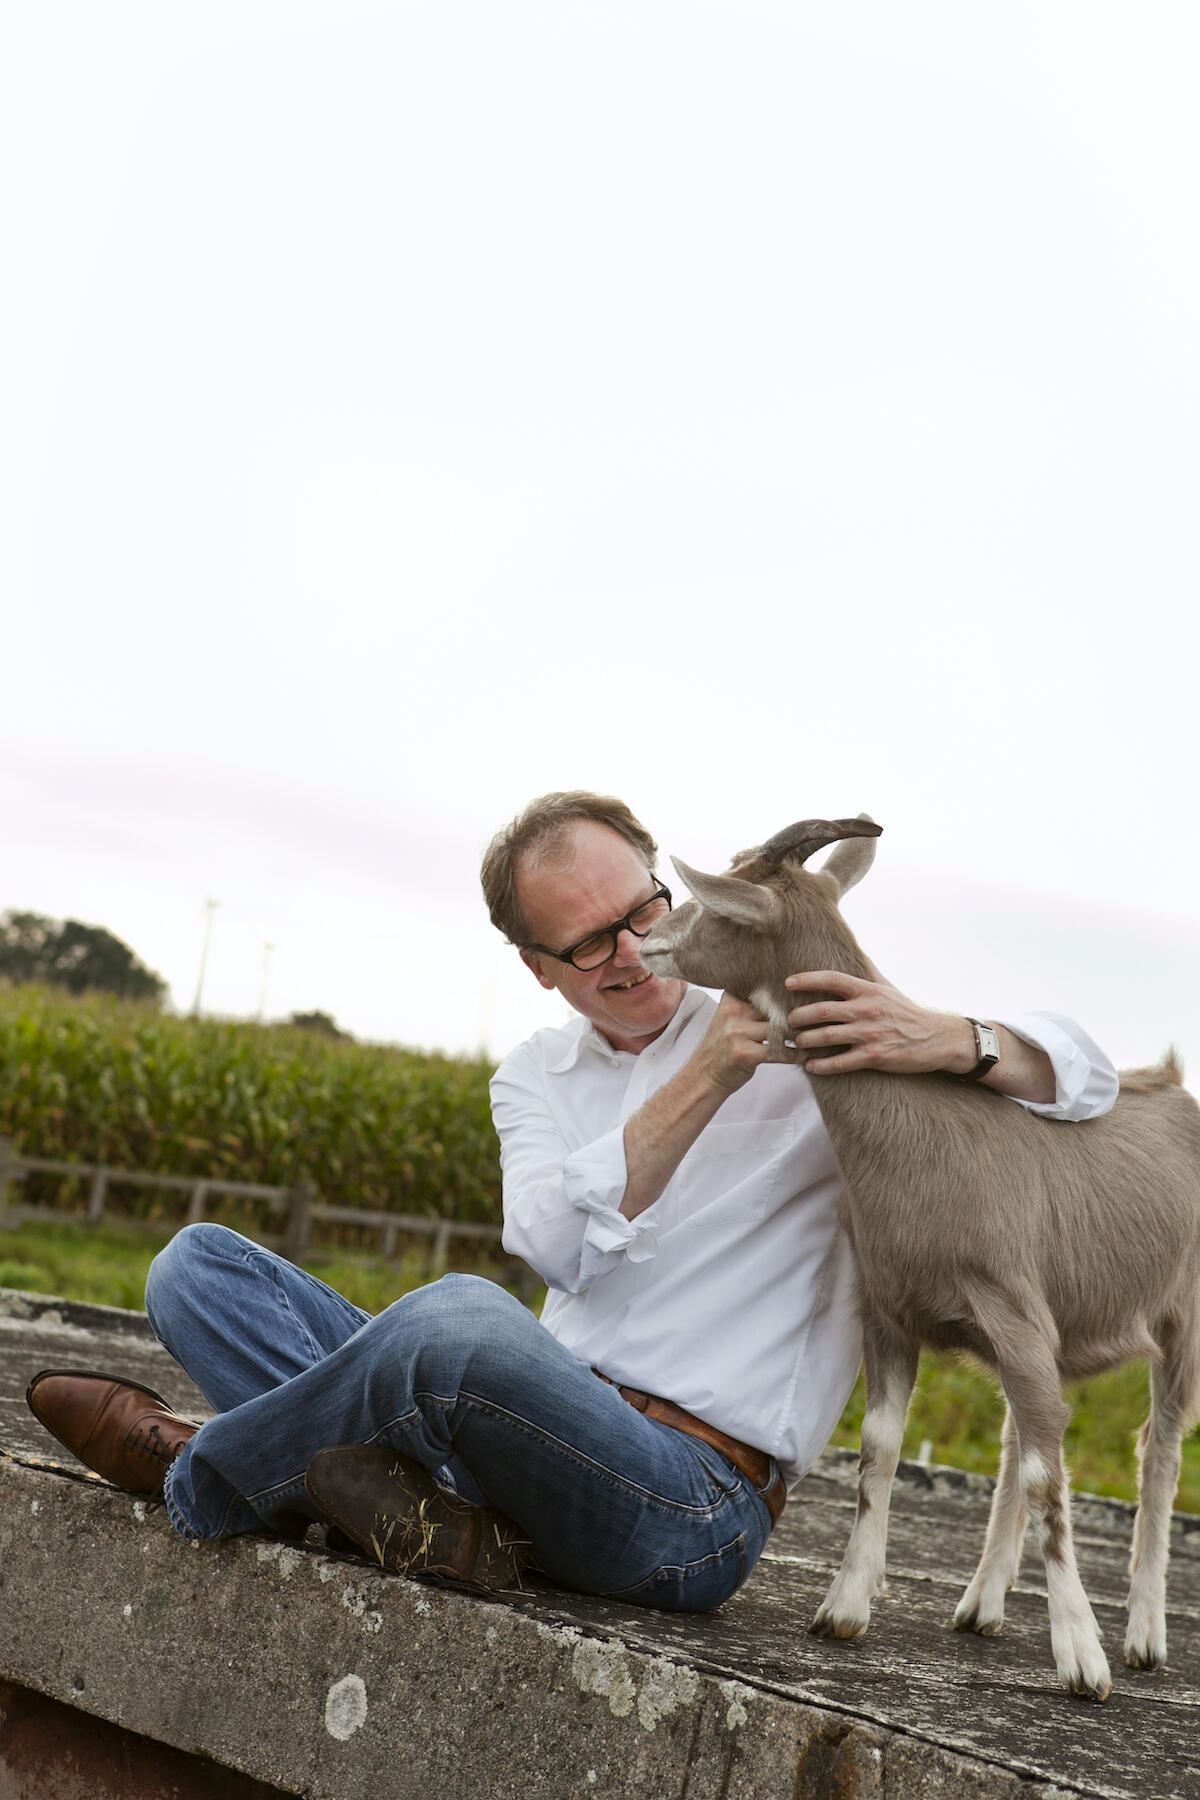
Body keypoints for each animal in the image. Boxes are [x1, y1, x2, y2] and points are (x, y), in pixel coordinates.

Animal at [644, 820, 1200, 1699]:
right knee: (1018, 1437)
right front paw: (843, 1607)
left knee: (1160, 1447)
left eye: (717, 901)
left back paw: (1144, 1634)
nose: (648, 940)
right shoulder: (892, 1309)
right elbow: (883, 1449)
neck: (921, 1133)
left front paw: (1082, 1656)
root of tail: (1174, 1085)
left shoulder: (1013, 1311)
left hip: (1183, 1317)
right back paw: (982, 1604)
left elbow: (1052, 1476)